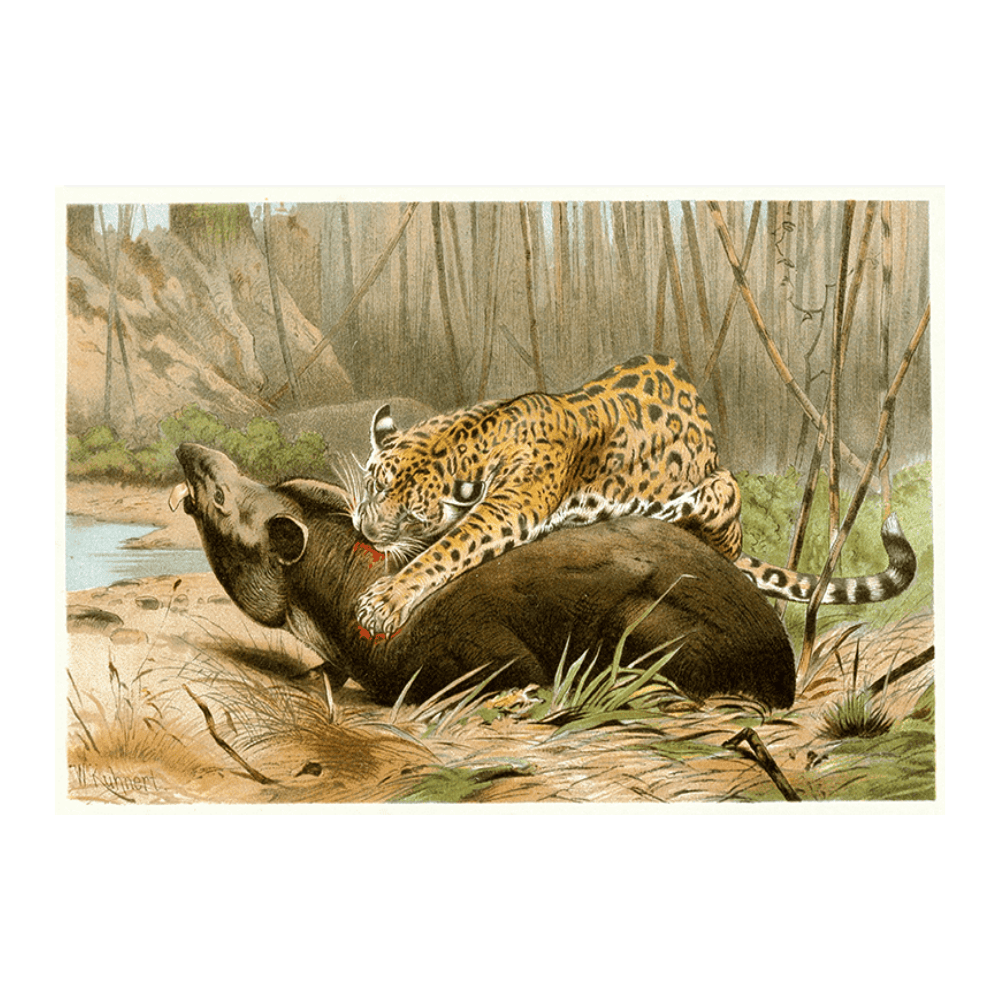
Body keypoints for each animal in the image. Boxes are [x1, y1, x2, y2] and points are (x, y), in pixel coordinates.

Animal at [350, 353, 916, 635]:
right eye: (373, 484)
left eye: (411, 516)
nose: (365, 530)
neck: (473, 431)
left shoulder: (511, 507)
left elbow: (449, 548)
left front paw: (387, 599)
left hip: (721, 491)